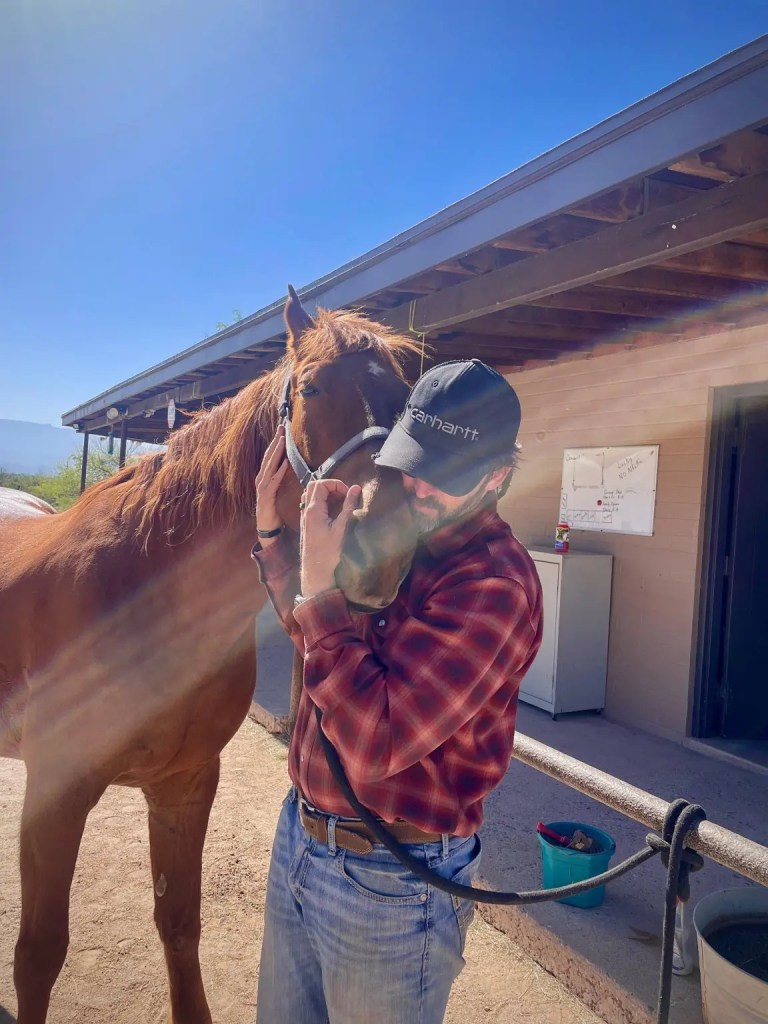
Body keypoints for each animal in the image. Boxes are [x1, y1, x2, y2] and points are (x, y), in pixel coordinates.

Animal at [0, 288, 419, 1024]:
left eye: (403, 402)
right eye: (312, 388)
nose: (380, 551)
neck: (142, 595)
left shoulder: (186, 783)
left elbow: (179, 923)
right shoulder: (55, 792)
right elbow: (39, 955)